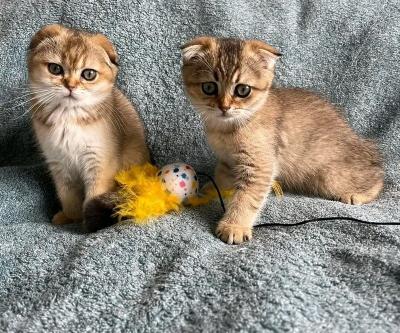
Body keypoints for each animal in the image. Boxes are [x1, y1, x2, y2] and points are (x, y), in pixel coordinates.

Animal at [181, 37, 384, 244]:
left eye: (243, 90)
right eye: (209, 87)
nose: (224, 107)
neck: (228, 128)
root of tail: (364, 146)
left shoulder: (260, 166)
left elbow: (246, 198)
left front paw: (234, 226)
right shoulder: (228, 162)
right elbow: (219, 179)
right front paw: (202, 194)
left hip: (330, 177)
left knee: (378, 178)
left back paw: (357, 195)